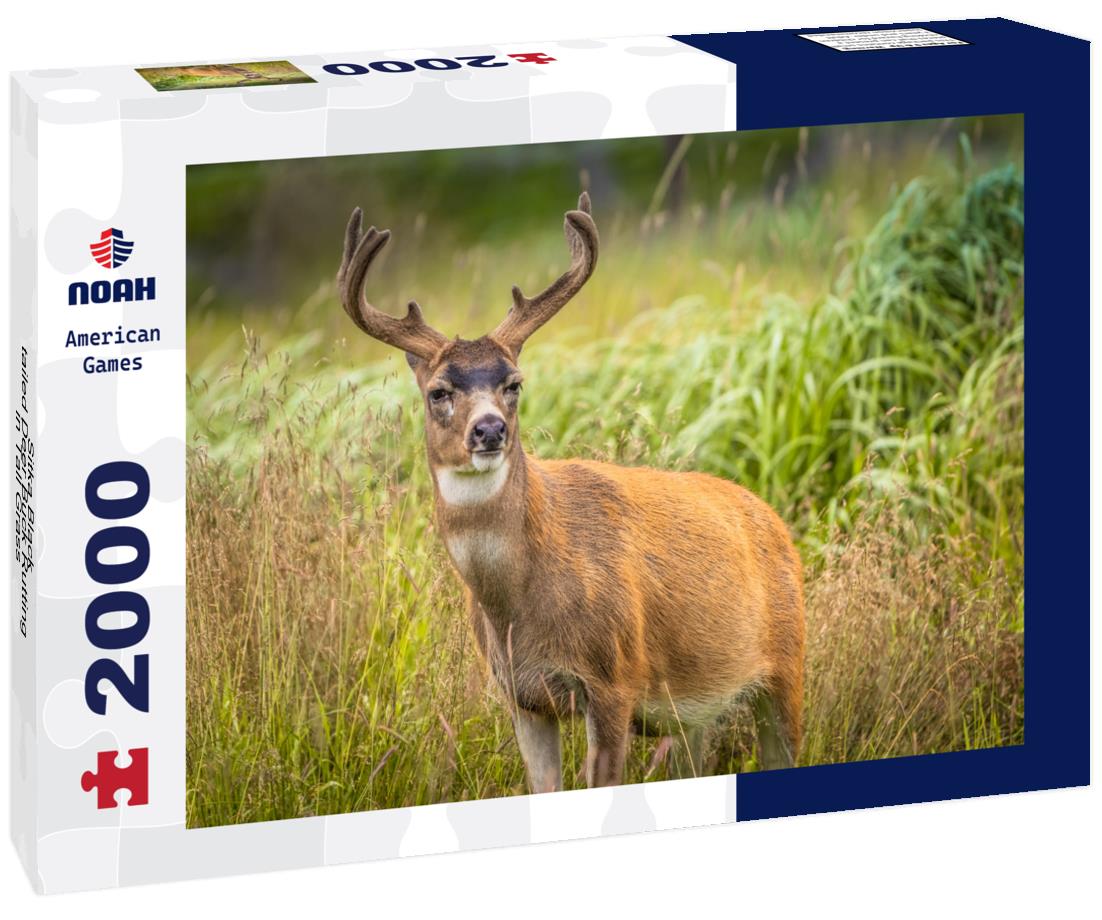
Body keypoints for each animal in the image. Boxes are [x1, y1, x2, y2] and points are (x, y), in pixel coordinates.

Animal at [337, 192, 805, 792]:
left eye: (513, 383)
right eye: (439, 391)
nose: (489, 430)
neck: (519, 603)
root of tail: (773, 519)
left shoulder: (614, 680)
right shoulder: (522, 698)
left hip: (787, 667)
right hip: (695, 714)